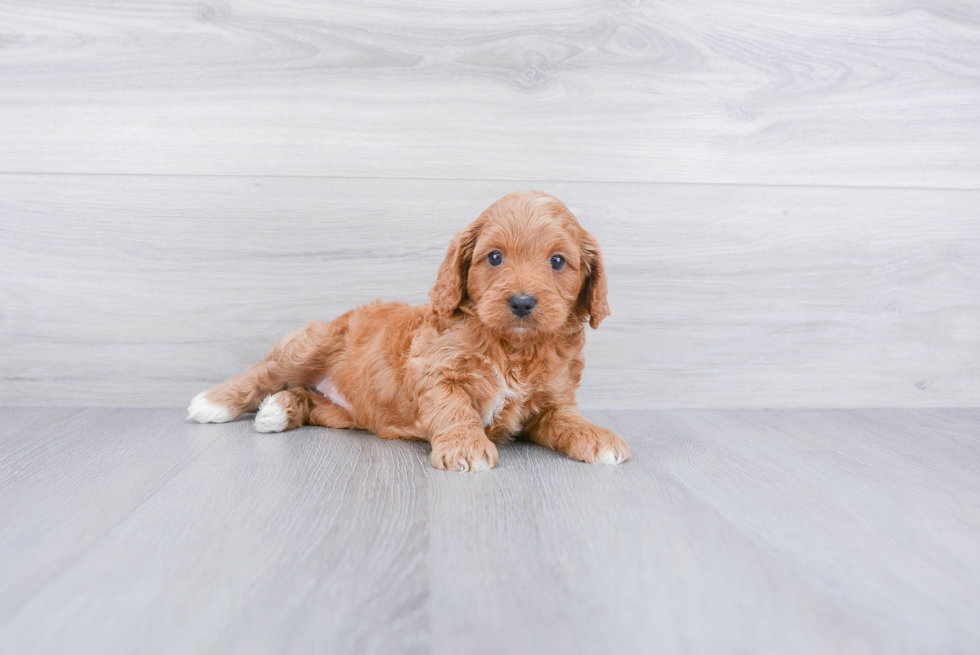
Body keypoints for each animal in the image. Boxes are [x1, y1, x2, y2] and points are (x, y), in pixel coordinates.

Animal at [188, 190, 632, 472]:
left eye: (557, 261)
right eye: (494, 257)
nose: (522, 302)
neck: (514, 347)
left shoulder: (552, 401)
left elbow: (567, 420)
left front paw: (598, 436)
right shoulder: (436, 371)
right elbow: (455, 409)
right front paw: (466, 447)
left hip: (342, 413)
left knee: (308, 400)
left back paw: (280, 410)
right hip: (309, 345)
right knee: (262, 373)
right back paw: (213, 403)